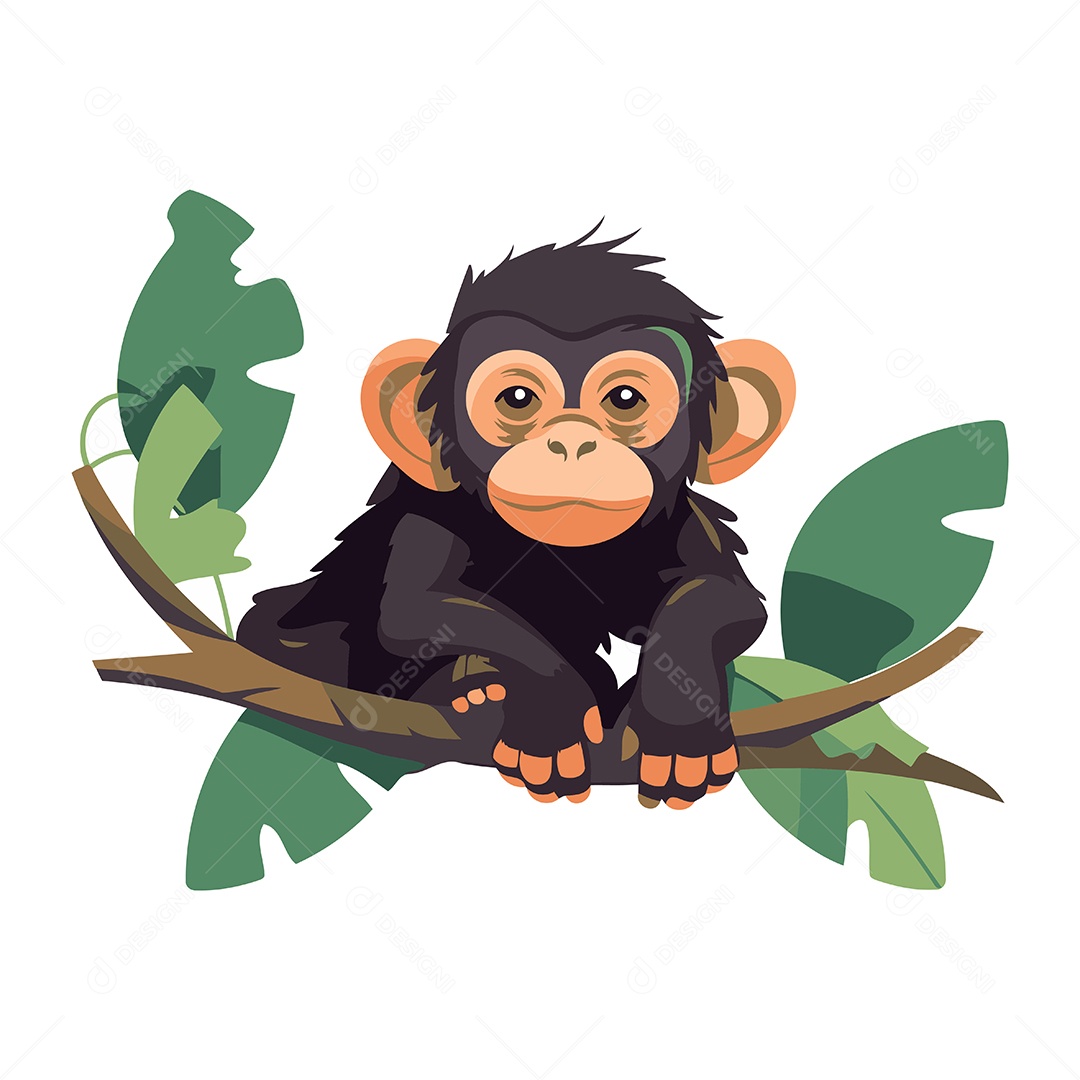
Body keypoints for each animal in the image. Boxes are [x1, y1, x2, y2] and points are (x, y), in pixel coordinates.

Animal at [236, 226, 795, 809]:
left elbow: (721, 595)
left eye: (625, 398)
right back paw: (476, 689)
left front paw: (680, 716)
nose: (571, 444)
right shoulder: (428, 513)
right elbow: (416, 608)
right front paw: (551, 708)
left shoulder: (680, 523)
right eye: (518, 398)